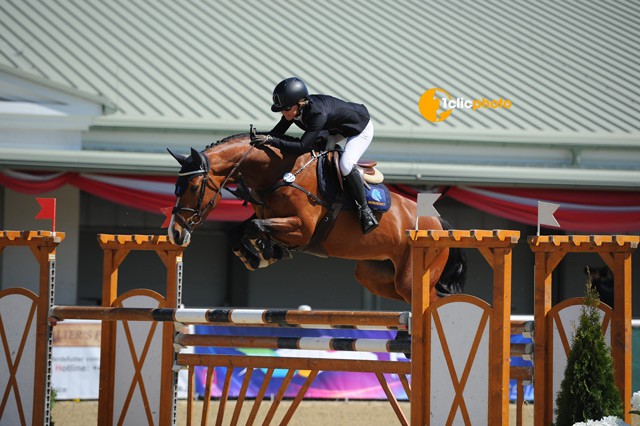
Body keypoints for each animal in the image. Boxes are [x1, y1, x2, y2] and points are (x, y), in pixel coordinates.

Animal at [166, 133, 464, 302]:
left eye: (192, 187)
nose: (175, 233)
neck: (278, 172)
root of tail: (437, 223)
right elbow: (239, 230)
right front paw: (255, 255)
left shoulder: (302, 229)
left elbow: (254, 226)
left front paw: (265, 252)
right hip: (375, 275)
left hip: (411, 276)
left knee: (431, 299)